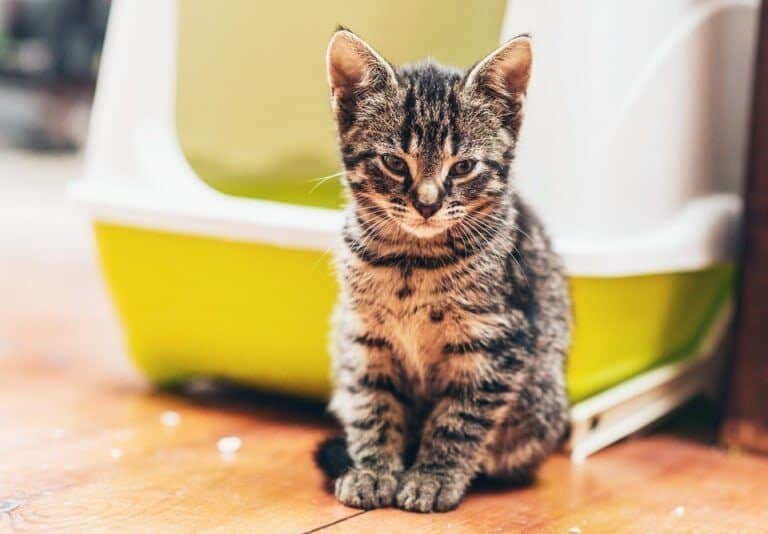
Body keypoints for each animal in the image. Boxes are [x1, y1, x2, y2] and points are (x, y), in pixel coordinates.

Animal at [314, 29, 568, 516]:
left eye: (463, 166)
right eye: (395, 163)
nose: (427, 204)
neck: (411, 261)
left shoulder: (495, 343)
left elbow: (459, 418)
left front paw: (433, 476)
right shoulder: (364, 338)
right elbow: (373, 406)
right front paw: (374, 470)